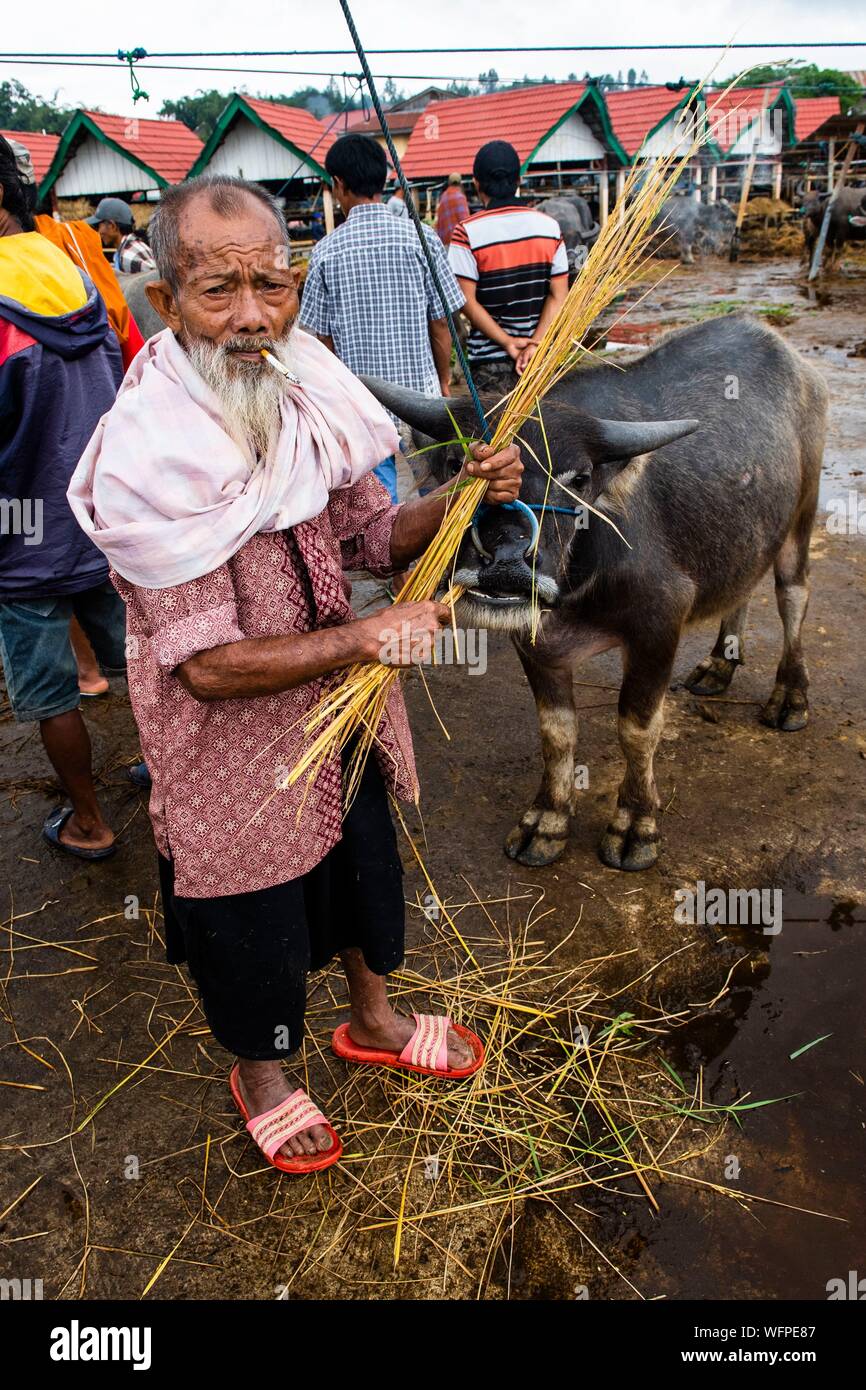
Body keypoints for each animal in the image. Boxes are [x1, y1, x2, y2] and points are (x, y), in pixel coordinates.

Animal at [364, 319, 828, 872]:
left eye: (579, 478)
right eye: (458, 462)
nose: (506, 560)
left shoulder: (659, 625)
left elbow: (637, 727)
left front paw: (636, 826)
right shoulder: (535, 641)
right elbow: (556, 730)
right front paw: (547, 820)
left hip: (802, 516)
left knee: (793, 596)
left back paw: (790, 696)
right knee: (741, 587)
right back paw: (719, 664)